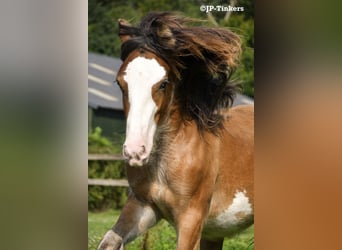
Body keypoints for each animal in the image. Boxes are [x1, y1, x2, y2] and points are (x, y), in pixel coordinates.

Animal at [97, 12, 252, 250]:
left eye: (163, 83)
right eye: (120, 83)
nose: (135, 152)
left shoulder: (191, 218)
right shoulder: (143, 206)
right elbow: (110, 242)